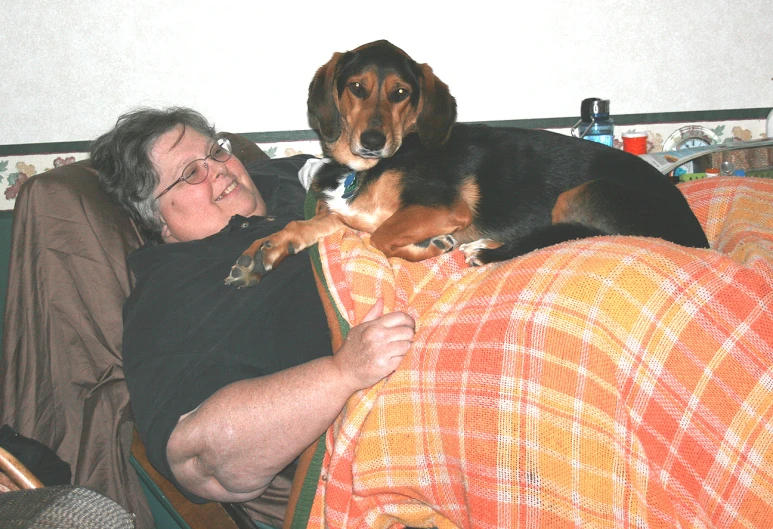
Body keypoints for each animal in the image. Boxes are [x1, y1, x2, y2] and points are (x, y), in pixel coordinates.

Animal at [222, 40, 704, 288]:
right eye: (357, 87)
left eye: (400, 93)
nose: (373, 141)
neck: (368, 170)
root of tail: (697, 235)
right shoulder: (341, 213)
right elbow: (301, 226)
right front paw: (261, 252)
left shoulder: (443, 208)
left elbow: (382, 236)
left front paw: (429, 246)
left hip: (582, 193)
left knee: (572, 234)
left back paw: (487, 251)